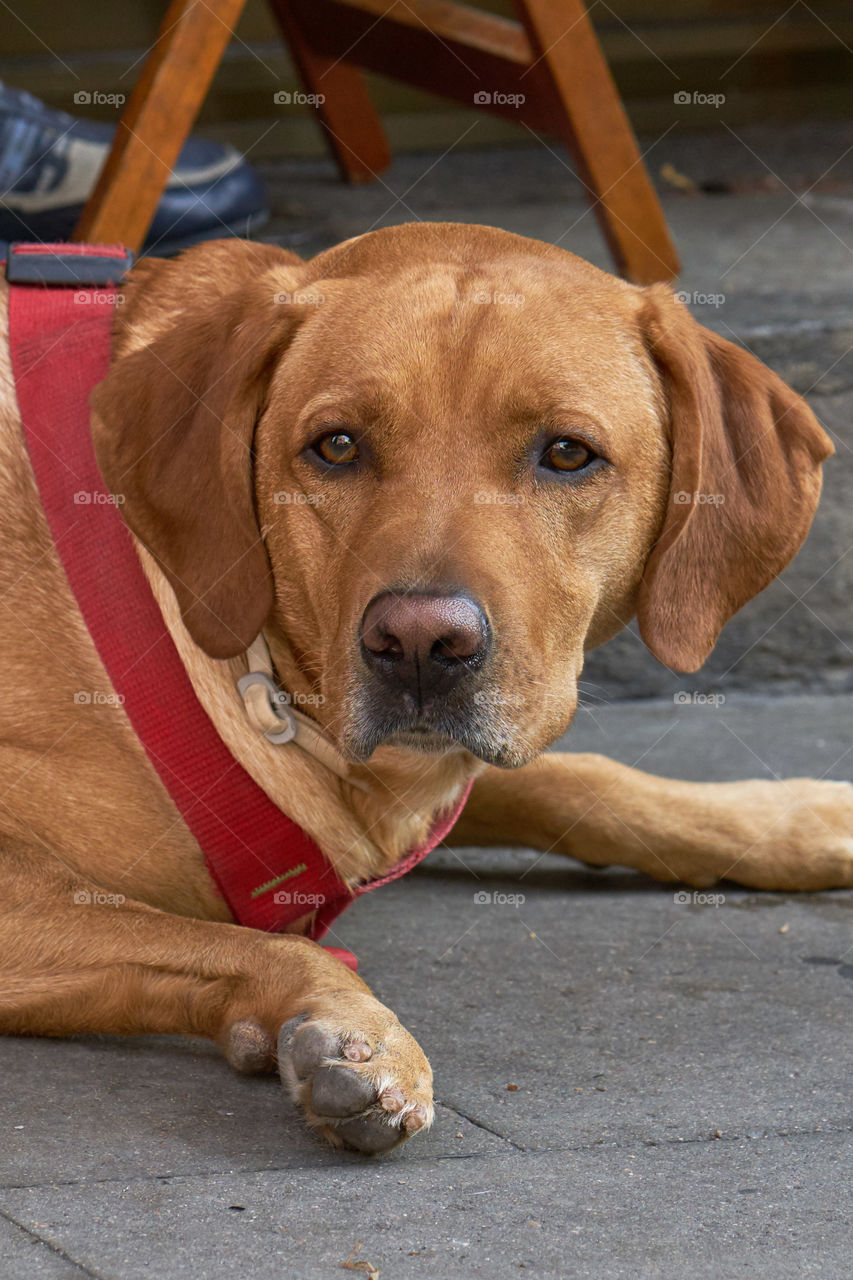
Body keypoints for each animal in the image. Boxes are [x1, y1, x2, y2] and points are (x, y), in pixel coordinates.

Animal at [0, 225, 845, 1157]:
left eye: (565, 453)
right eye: (335, 446)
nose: (416, 644)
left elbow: (577, 781)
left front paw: (793, 821)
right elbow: (250, 945)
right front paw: (346, 1026)